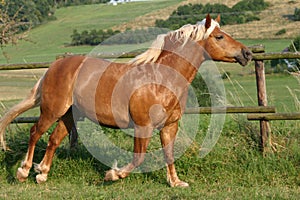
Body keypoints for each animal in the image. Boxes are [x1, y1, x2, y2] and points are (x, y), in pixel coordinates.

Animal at [0, 14, 252, 188]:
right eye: (219, 36)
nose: (247, 53)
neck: (161, 79)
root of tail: (56, 65)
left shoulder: (170, 126)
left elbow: (169, 155)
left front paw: (176, 183)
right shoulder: (143, 126)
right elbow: (138, 158)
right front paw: (113, 174)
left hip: (68, 114)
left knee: (53, 139)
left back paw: (42, 174)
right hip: (52, 110)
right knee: (35, 133)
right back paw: (24, 172)